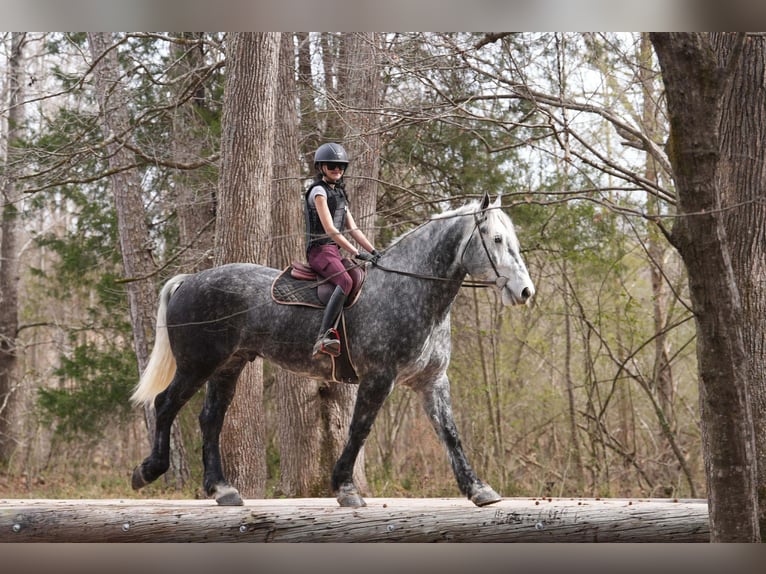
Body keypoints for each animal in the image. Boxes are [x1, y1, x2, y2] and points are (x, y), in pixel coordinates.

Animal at [129, 191, 535, 508]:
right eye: (496, 239)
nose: (525, 291)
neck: (409, 289)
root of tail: (190, 280)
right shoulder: (378, 377)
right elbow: (359, 429)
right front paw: (345, 488)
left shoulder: (432, 381)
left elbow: (449, 433)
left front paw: (478, 489)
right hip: (197, 364)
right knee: (165, 404)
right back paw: (148, 471)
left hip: (228, 365)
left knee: (211, 419)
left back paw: (222, 489)